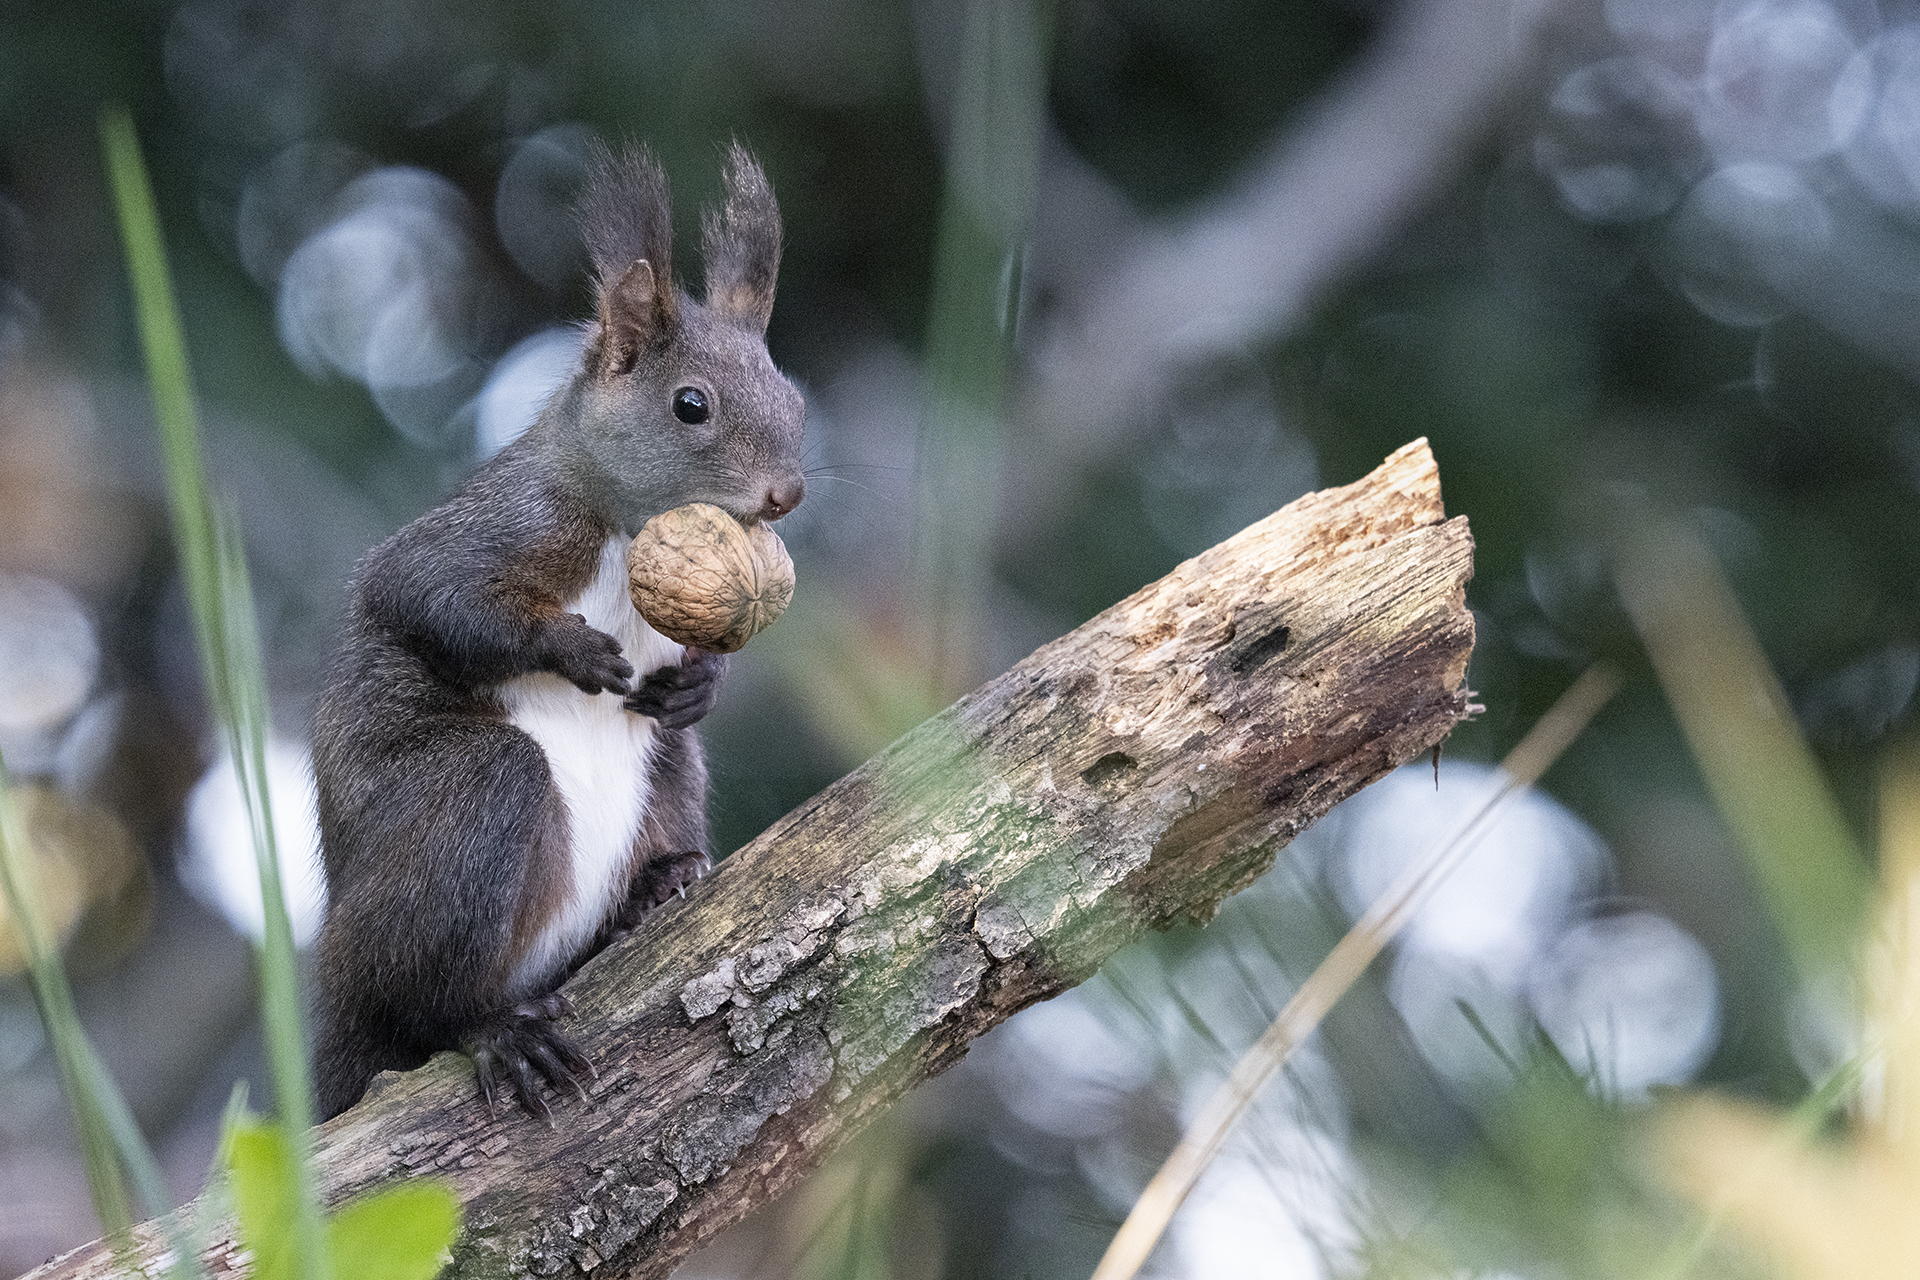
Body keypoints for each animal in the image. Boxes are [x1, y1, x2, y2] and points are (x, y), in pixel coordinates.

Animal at [309, 143, 805, 1122]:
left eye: (793, 396)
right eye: (691, 405)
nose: (787, 494)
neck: (626, 524)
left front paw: (700, 683)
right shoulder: (508, 525)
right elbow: (430, 595)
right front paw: (572, 651)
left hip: (667, 775)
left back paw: (660, 886)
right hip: (455, 828)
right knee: (421, 1008)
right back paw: (496, 1031)